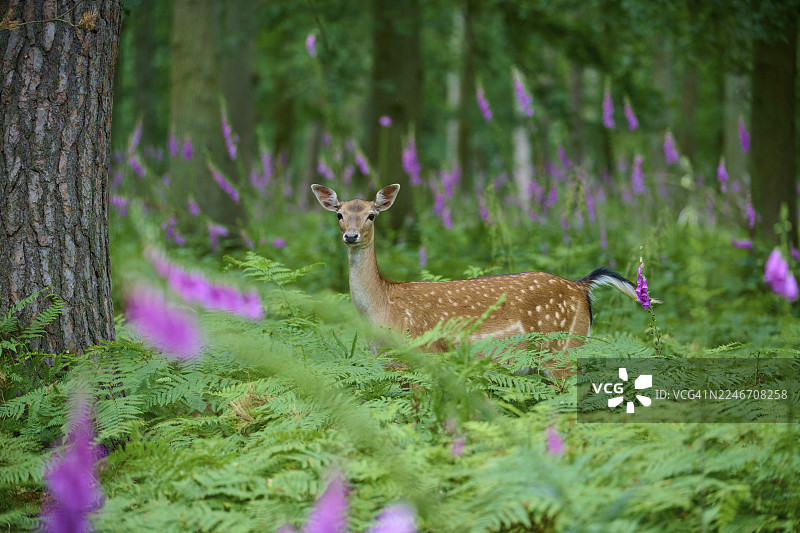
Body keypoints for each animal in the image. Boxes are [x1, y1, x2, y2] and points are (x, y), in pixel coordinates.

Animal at [311, 183, 639, 379]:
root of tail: (581, 286)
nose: (351, 236)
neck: (384, 307)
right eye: (339, 214)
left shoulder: (423, 354)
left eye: (371, 215)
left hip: (561, 348)